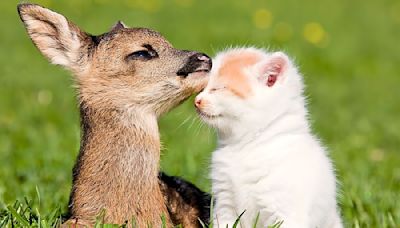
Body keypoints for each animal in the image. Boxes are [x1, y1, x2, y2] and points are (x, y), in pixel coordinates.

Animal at [195, 47, 342, 227]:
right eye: (202, 88)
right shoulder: (225, 206)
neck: (245, 146)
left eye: (218, 88)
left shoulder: (285, 211)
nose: (197, 100)